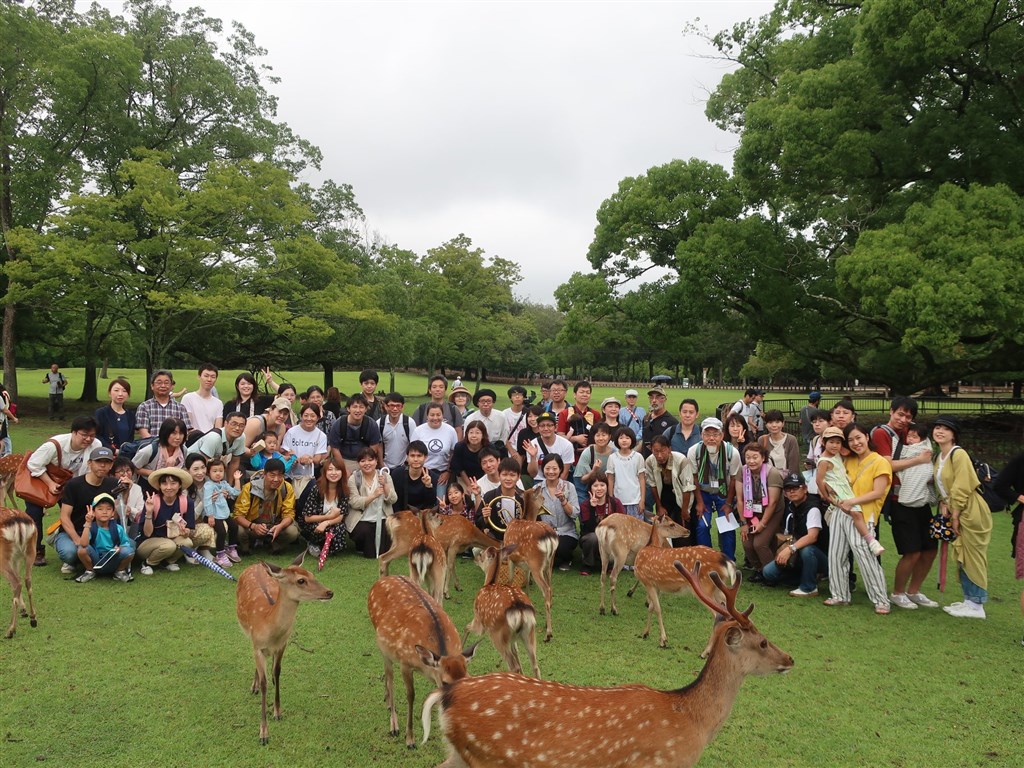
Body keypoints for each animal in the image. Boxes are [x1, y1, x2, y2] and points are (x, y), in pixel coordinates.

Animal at [0, 507, 37, 638]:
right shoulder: (16, 559)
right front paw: (23, 610)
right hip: (31, 549)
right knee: (26, 580)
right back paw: (33, 618)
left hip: (3, 556)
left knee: (17, 582)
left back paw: (11, 630)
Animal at [234, 552, 331, 745]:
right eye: (301, 580)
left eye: (312, 574)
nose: (329, 592)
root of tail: (255, 565)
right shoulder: (258, 646)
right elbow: (264, 683)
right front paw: (263, 733)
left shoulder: (283, 644)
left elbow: (277, 672)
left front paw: (278, 712)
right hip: (247, 632)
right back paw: (254, 686)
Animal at [368, 577, 479, 753]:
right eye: (446, 682)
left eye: (468, 678)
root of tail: (382, 579)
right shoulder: (405, 664)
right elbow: (411, 696)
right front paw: (410, 740)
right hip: (384, 649)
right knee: (390, 678)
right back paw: (394, 725)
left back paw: (387, 701)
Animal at [466, 548, 540, 679]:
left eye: (481, 554)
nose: (473, 551)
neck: (488, 583)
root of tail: (519, 609)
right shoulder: (513, 638)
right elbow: (516, 650)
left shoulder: (479, 620)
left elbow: (467, 627)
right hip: (529, 632)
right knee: (535, 665)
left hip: (498, 635)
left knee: (513, 665)